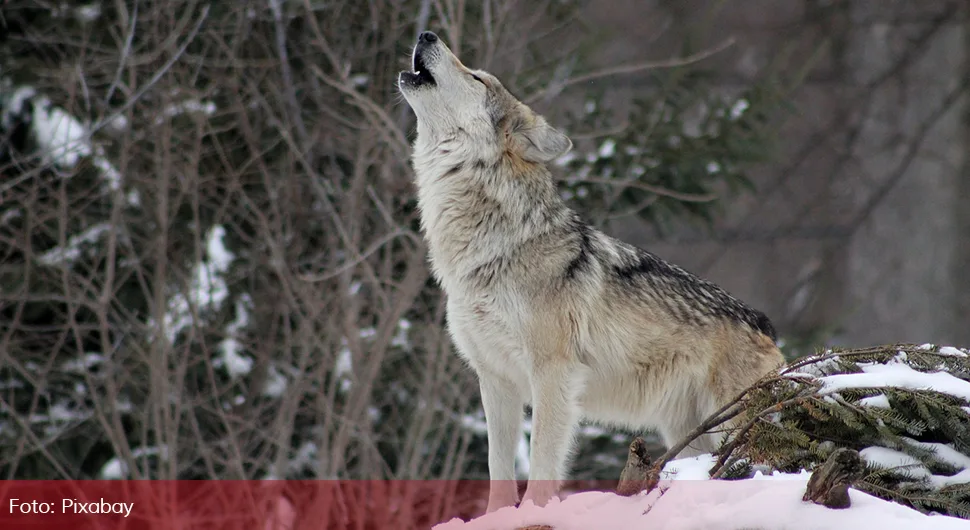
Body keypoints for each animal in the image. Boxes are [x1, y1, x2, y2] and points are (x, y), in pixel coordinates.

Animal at [398, 31, 784, 510]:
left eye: (477, 77)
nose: (426, 34)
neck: (492, 249)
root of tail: (765, 324)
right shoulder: (496, 380)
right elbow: (497, 470)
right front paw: (499, 515)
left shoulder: (553, 374)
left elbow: (542, 464)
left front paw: (534, 513)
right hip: (688, 434)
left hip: (732, 424)